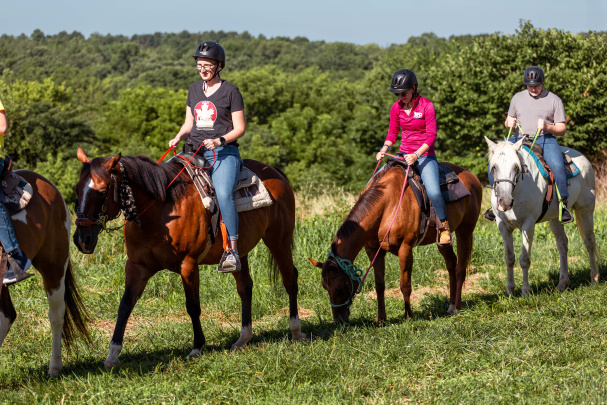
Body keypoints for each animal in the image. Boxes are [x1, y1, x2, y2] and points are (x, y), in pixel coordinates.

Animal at [73, 148, 306, 366]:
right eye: (76, 190)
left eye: (102, 192)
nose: (82, 239)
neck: (161, 212)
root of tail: (275, 172)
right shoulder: (137, 266)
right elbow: (125, 306)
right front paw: (113, 354)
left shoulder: (188, 264)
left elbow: (193, 306)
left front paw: (197, 347)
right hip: (241, 252)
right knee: (245, 287)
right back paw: (243, 339)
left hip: (279, 240)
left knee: (290, 280)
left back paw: (295, 331)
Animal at [312, 163, 482, 324]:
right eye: (324, 287)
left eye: (339, 288)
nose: (339, 321)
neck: (387, 205)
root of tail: (472, 177)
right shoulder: (374, 250)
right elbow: (379, 285)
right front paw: (381, 319)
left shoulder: (405, 249)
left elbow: (405, 285)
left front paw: (409, 316)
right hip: (442, 241)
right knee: (451, 265)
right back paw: (450, 306)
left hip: (465, 231)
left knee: (460, 268)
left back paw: (457, 307)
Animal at [484, 137, 600, 296]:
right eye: (494, 167)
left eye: (516, 167)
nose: (505, 201)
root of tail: (584, 159)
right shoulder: (503, 225)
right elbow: (509, 258)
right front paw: (510, 290)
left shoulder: (528, 224)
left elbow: (524, 259)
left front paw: (525, 291)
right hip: (555, 219)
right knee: (562, 244)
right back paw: (562, 283)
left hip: (585, 210)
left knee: (589, 242)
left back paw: (594, 278)